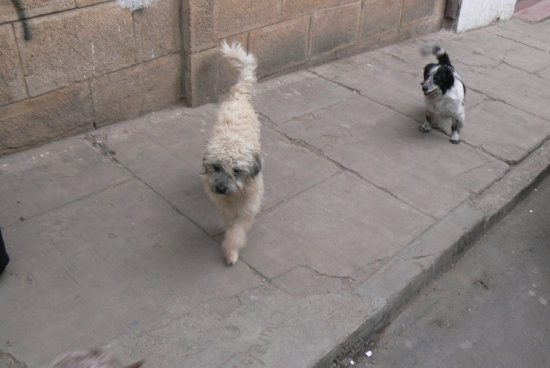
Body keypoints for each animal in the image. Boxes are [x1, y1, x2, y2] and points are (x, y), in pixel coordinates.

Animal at [202, 41, 264, 264]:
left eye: (237, 170)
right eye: (215, 166)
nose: (220, 188)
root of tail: (238, 95)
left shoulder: (248, 207)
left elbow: (237, 231)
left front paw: (231, 251)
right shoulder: (225, 208)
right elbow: (230, 224)